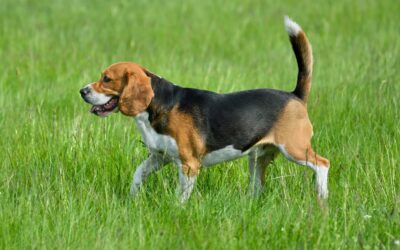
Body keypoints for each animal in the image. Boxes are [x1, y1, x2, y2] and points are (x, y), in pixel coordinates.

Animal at [79, 17, 330, 201]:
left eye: (106, 79)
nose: (82, 91)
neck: (157, 106)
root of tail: (294, 95)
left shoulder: (189, 165)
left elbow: (181, 195)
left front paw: (177, 210)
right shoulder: (160, 157)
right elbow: (138, 173)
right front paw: (132, 198)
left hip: (294, 149)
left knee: (322, 165)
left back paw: (322, 197)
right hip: (258, 158)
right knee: (258, 186)